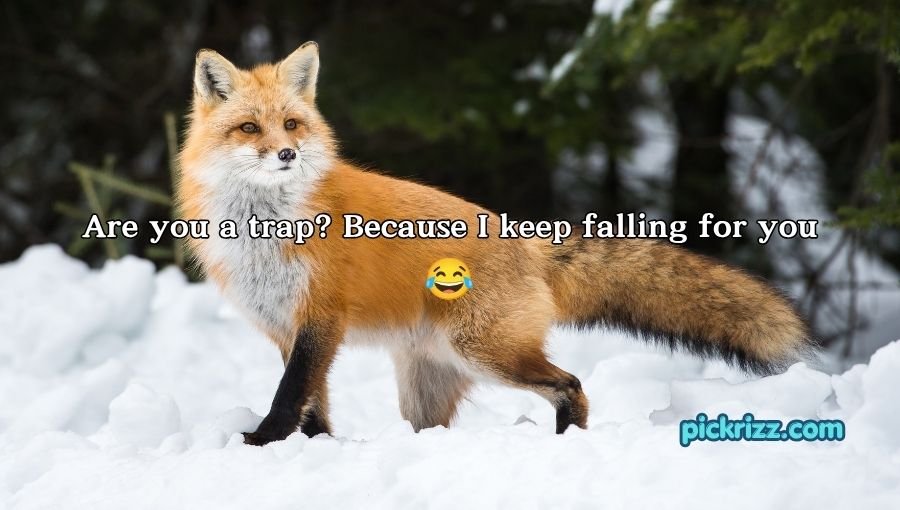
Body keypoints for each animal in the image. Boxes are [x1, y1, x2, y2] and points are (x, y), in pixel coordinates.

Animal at [178, 42, 817, 446]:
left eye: (291, 124)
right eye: (249, 128)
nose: (287, 153)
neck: (266, 228)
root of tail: (525, 241)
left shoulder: (320, 318)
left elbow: (291, 396)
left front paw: (263, 442)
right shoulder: (286, 327)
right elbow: (312, 404)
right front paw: (314, 448)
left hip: (487, 352)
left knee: (571, 385)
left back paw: (567, 443)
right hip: (427, 386)